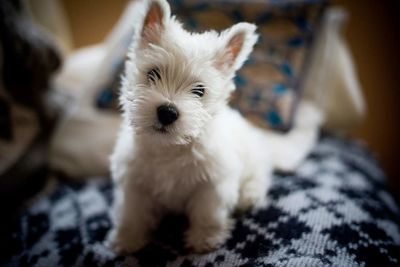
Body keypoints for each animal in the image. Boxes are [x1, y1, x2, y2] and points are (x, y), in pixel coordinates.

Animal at [108, 0, 324, 254]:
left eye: (199, 90)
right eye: (153, 74)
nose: (167, 112)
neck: (170, 148)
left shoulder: (214, 182)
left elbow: (208, 213)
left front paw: (205, 239)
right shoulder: (134, 183)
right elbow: (132, 213)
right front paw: (127, 240)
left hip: (254, 160)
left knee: (260, 177)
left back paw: (248, 198)